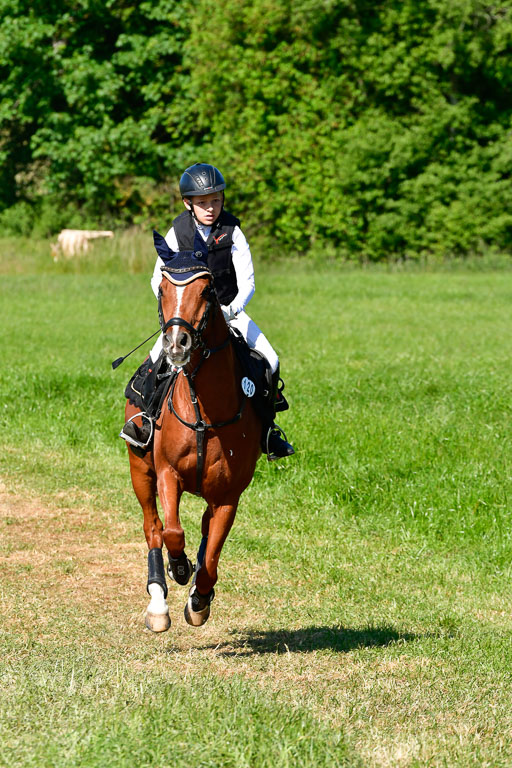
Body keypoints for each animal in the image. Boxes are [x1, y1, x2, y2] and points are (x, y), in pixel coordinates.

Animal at [123, 243, 260, 632]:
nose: (176, 343)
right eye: (162, 289)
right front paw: (179, 568)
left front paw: (200, 599)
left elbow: (211, 555)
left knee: (202, 531)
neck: (204, 412)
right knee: (153, 527)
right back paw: (158, 602)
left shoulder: (228, 496)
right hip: (140, 471)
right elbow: (172, 532)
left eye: (207, 291)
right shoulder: (167, 474)